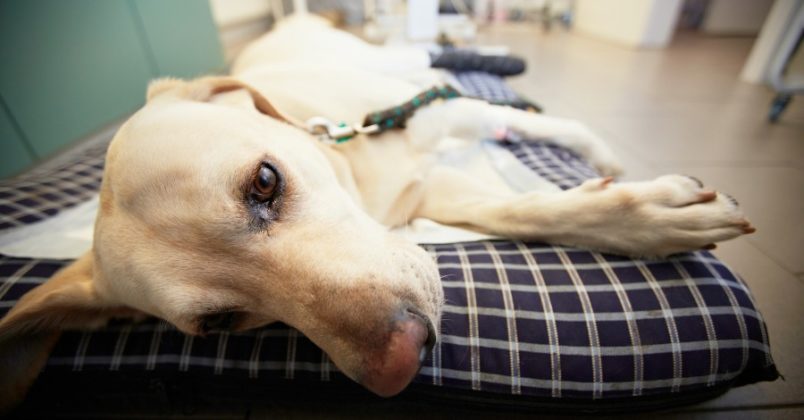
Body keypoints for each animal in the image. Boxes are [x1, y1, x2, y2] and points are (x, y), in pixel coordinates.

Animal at [0, 13, 752, 410]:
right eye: (220, 324)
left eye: (264, 183)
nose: (400, 362)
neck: (353, 163)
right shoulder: (430, 190)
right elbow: (531, 211)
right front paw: (641, 216)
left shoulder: (442, 118)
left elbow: (553, 134)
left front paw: (620, 177)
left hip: (409, 72)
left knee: (442, 63)